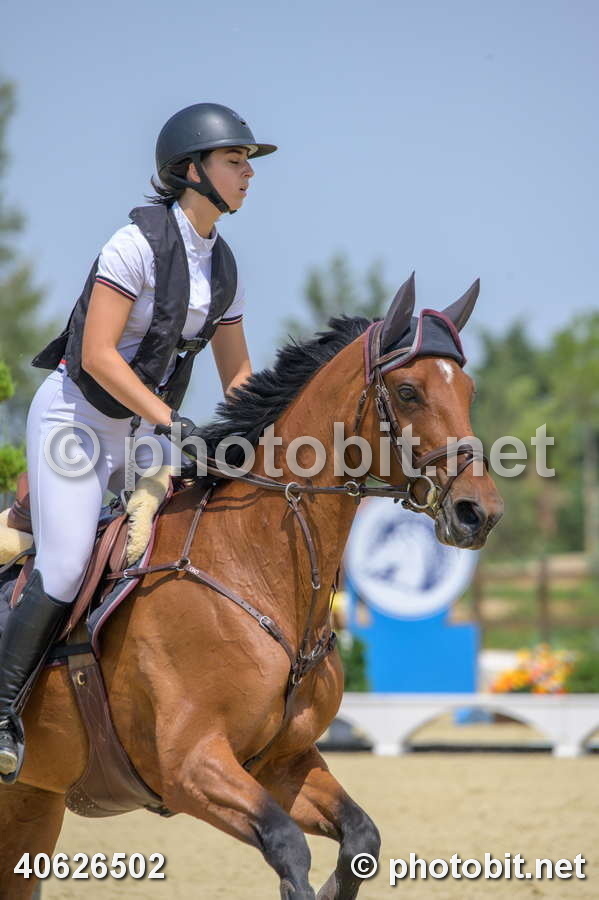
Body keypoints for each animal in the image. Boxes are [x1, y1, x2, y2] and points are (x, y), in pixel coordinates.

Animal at [0, 274, 503, 899]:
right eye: (409, 392)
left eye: (470, 391)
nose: (478, 514)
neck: (258, 569)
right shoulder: (189, 765)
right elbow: (287, 844)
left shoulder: (282, 763)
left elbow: (361, 840)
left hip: (32, 801)